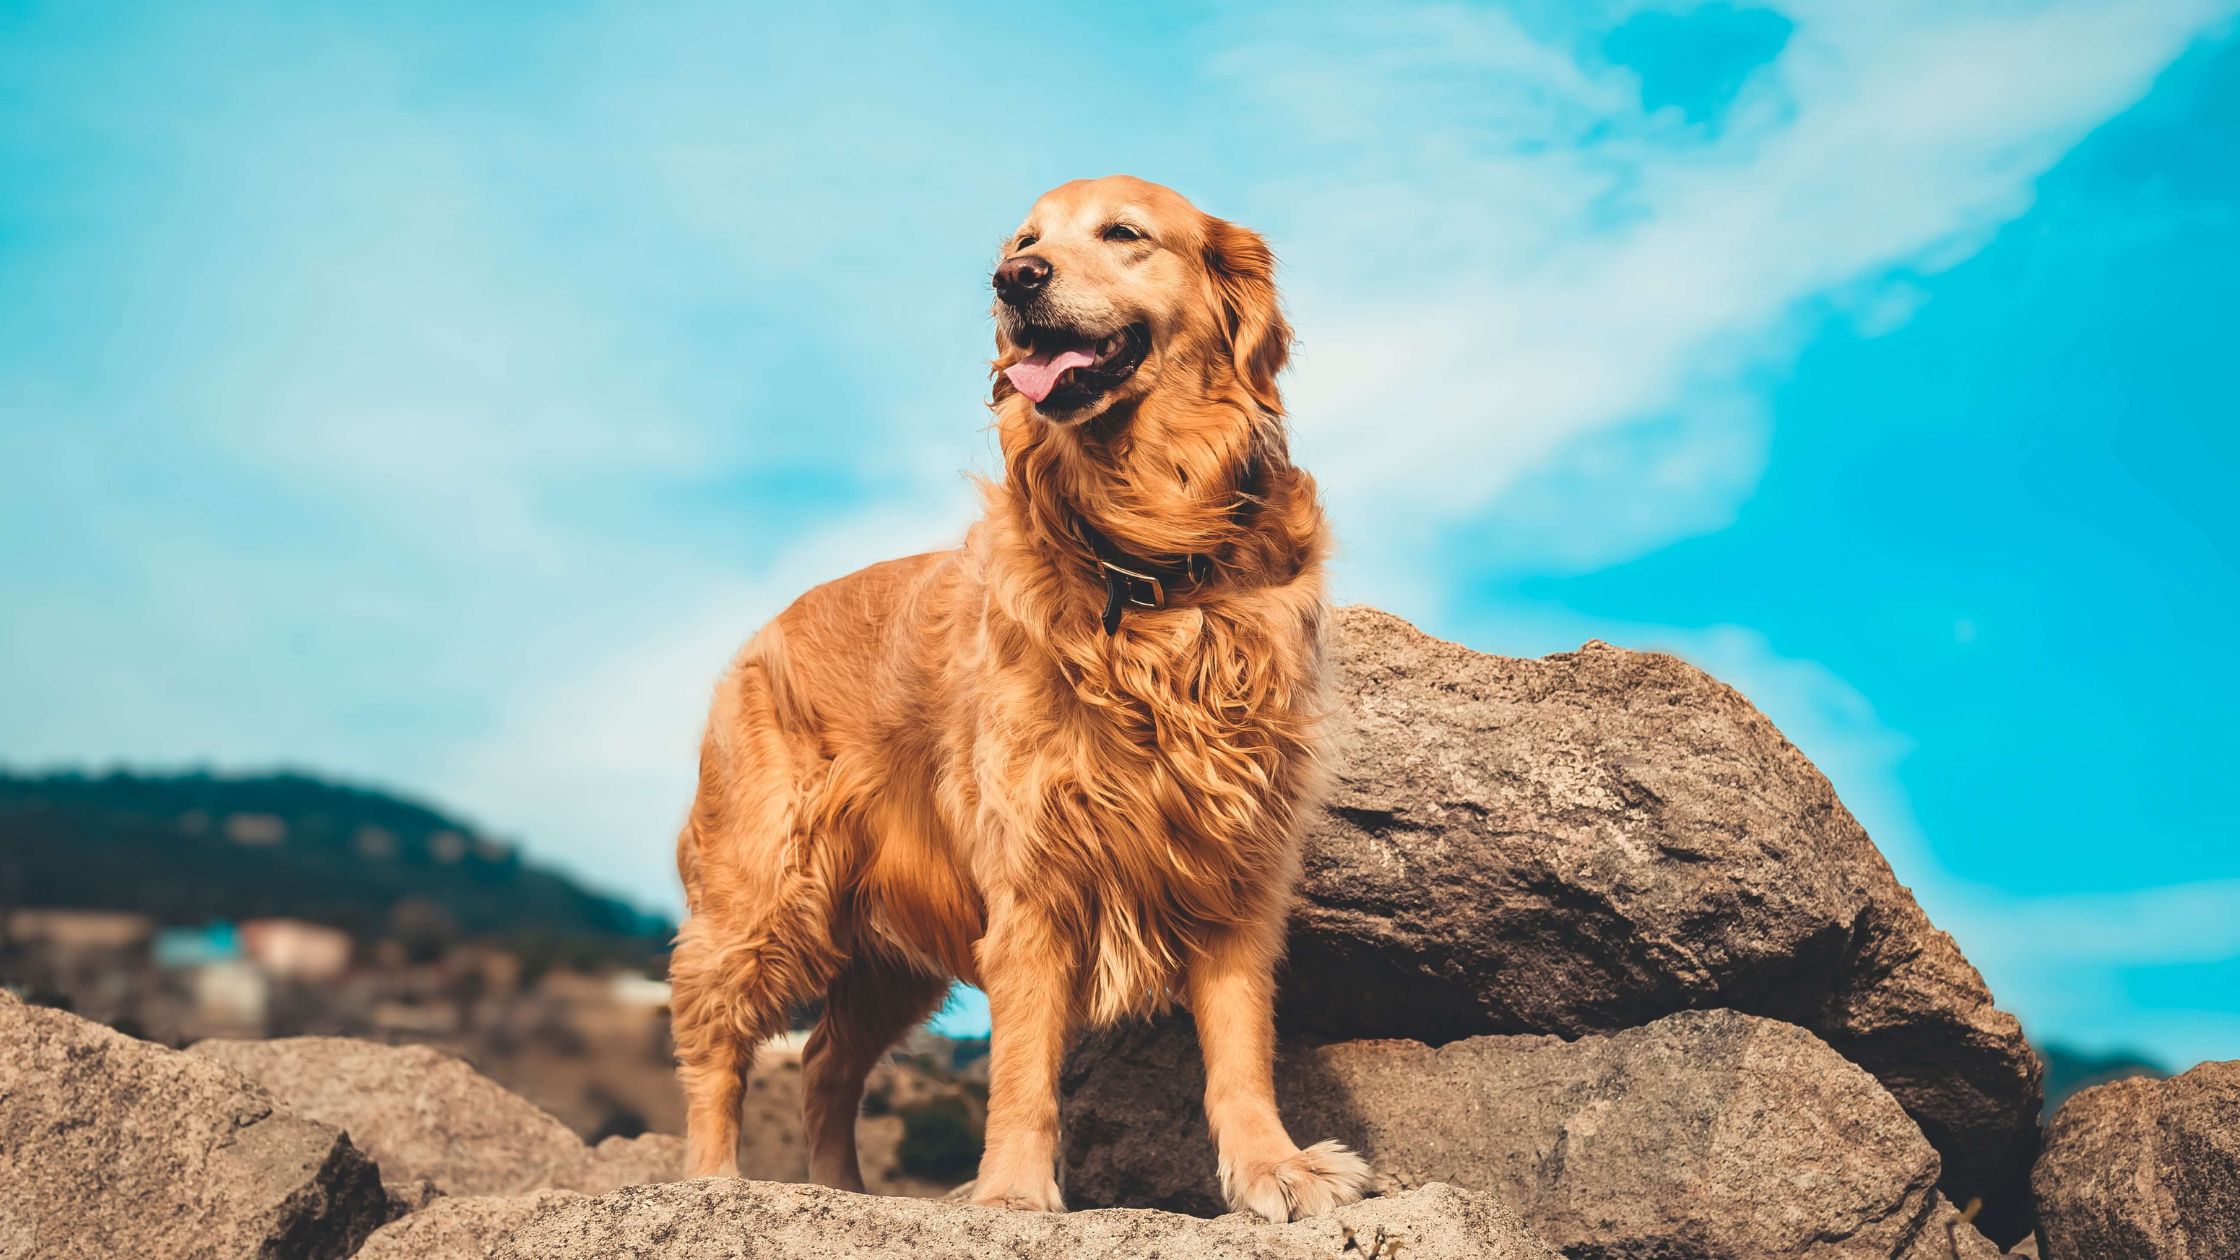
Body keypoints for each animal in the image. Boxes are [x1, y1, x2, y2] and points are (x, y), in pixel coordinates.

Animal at [663, 177, 1361, 1219]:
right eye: (1025, 240)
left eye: (1123, 233)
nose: (1014, 280)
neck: (1143, 562)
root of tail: (761, 632)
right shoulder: (1031, 872)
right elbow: (1025, 1066)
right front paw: (1012, 1195)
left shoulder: (1234, 859)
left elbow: (1240, 1048)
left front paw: (1273, 1167)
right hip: (765, 887)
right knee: (716, 1043)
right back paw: (714, 1184)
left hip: (884, 952)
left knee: (826, 1060)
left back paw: (850, 1194)